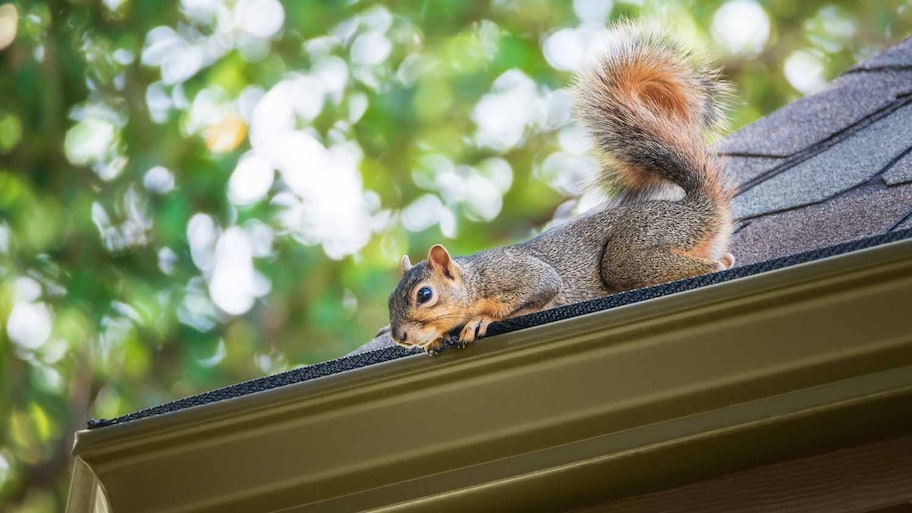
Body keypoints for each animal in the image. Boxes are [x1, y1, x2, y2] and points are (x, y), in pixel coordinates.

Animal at [384, 24, 732, 352]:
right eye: (390, 300)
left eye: (424, 294)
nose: (400, 336)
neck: (475, 280)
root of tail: (696, 210)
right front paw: (434, 340)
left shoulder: (521, 275)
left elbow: (539, 291)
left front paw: (480, 319)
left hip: (635, 249)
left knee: (712, 265)